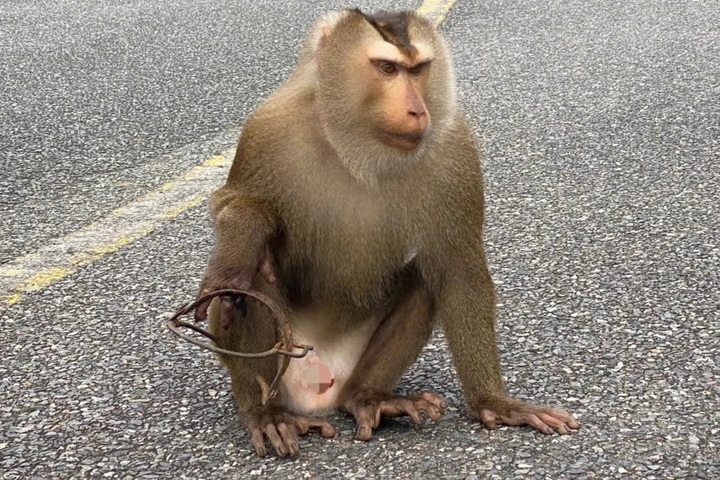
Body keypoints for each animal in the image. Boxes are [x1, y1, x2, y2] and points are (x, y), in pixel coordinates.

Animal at [193, 9, 580, 458]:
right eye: (387, 69)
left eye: (418, 69)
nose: (416, 111)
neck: (357, 148)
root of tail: (318, 392)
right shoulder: (266, 128)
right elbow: (230, 206)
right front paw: (243, 234)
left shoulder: (454, 149)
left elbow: (457, 271)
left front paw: (494, 402)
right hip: (288, 362)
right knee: (247, 280)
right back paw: (266, 412)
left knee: (426, 279)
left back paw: (367, 396)